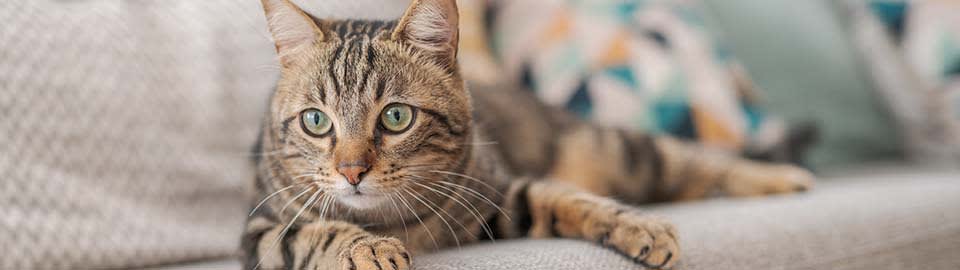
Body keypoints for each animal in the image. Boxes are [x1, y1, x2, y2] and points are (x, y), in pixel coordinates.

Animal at [240, 0, 808, 268]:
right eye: (316, 121)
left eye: (396, 117)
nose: (352, 171)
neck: (391, 219)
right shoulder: (259, 233)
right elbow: (319, 231)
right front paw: (367, 249)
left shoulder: (499, 195)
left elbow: (566, 198)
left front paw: (637, 226)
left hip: (617, 148)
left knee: (698, 161)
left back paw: (782, 177)